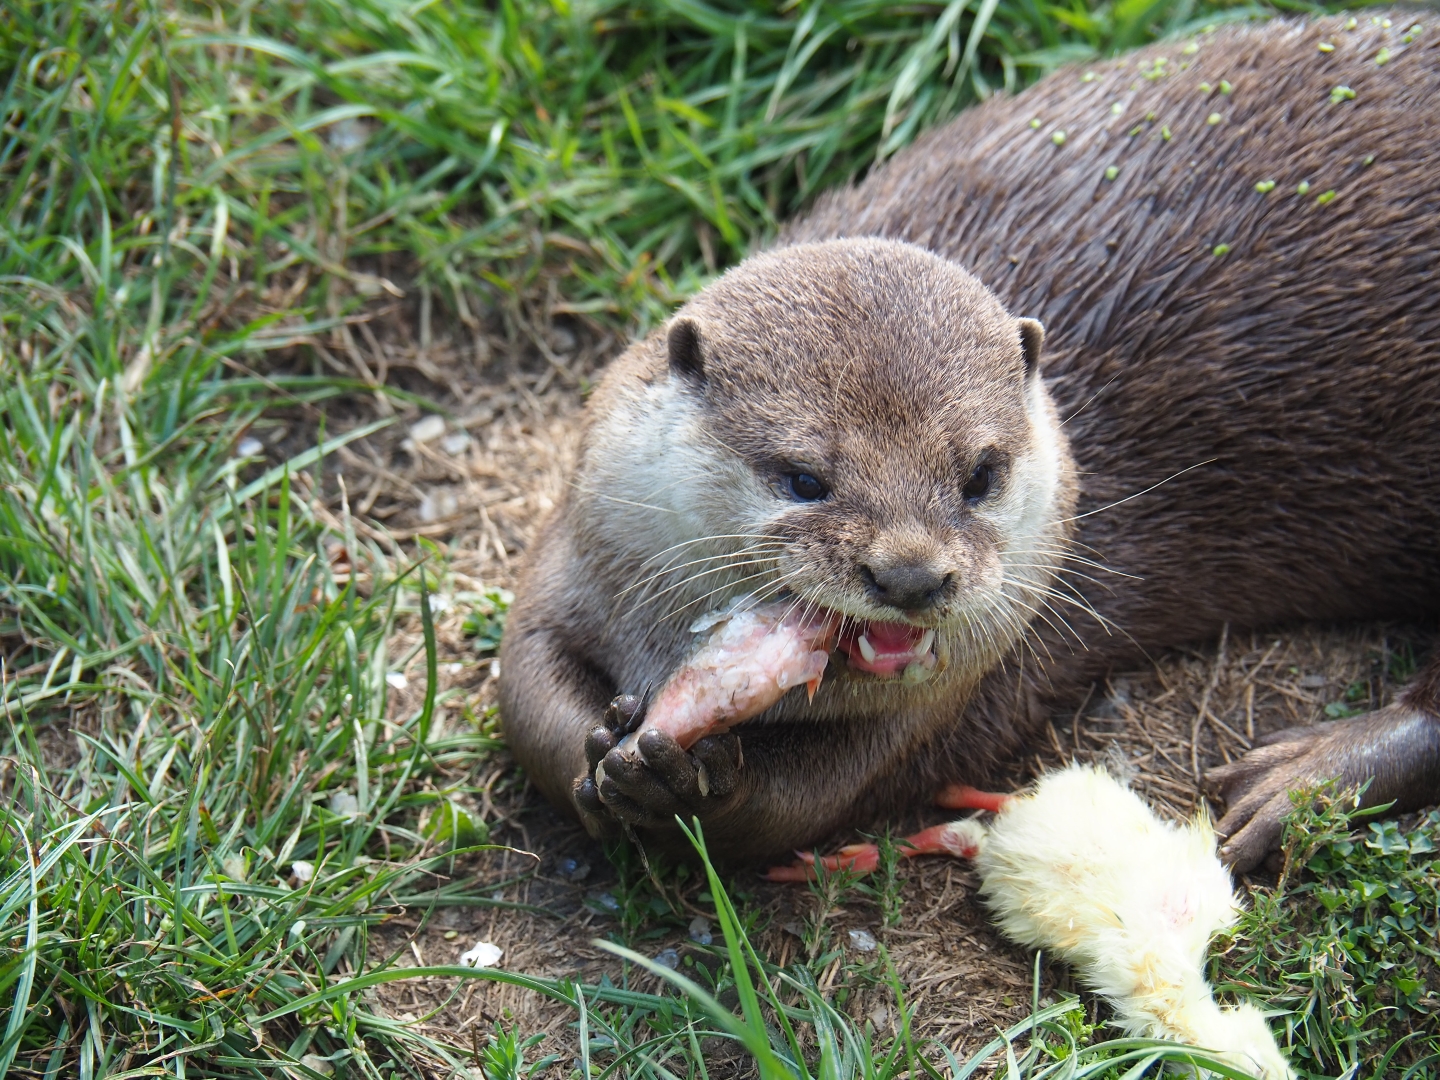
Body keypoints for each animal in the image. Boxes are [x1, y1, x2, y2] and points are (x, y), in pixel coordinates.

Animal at [499, 10, 1440, 872]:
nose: (912, 577)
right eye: (803, 478)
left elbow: (801, 804)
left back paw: (1301, 779)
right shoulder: (578, 544)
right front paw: (603, 750)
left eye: (980, 473)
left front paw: (692, 786)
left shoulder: (957, 691)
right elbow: (525, 694)